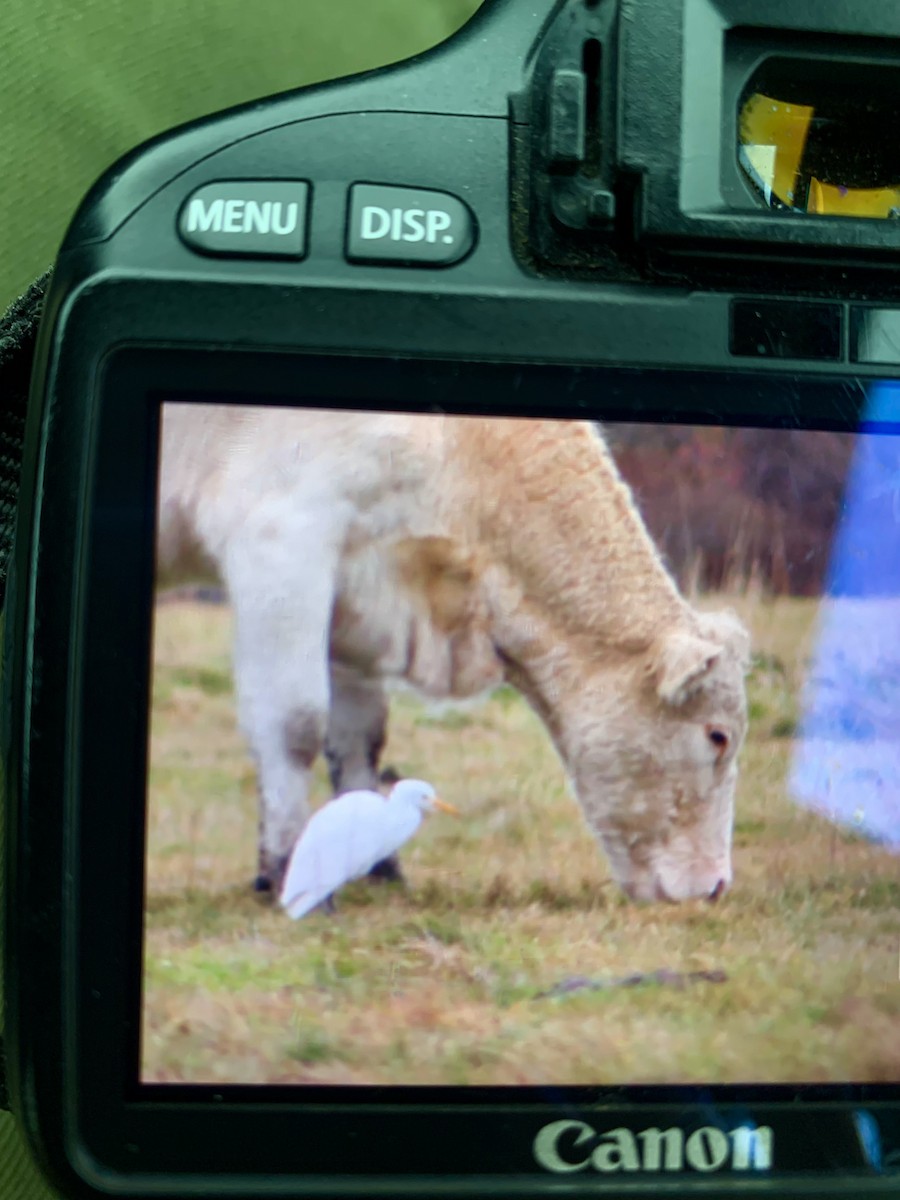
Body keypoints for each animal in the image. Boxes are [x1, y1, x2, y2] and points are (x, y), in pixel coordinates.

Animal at [157, 404, 750, 904]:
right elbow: (294, 726)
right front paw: (282, 869)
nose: (718, 886)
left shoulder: (352, 591)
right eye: (717, 736)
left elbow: (357, 737)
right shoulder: (282, 538)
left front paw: (376, 865)